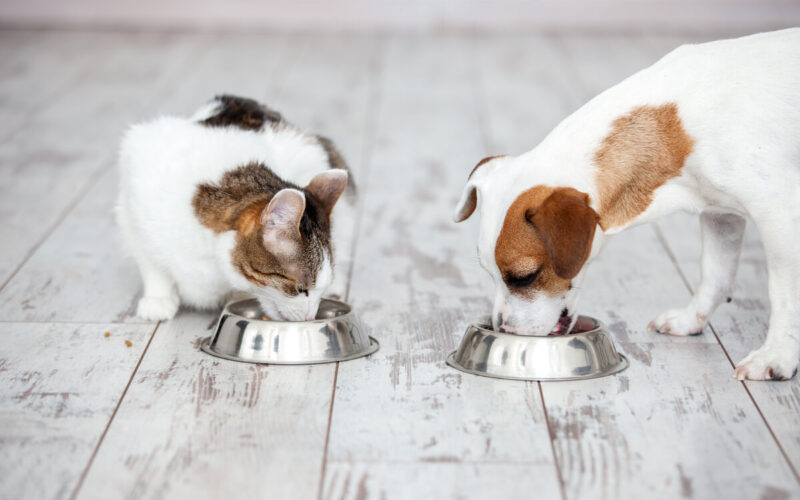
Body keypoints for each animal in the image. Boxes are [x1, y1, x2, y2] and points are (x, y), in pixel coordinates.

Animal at [117, 94, 354, 320]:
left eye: (317, 290)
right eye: (301, 289)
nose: (310, 316)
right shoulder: (133, 197)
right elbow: (151, 263)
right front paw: (158, 298)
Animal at [456, 29, 800, 380]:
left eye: (525, 277)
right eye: (489, 272)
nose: (503, 329)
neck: (676, 126)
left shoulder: (780, 215)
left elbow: (783, 294)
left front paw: (776, 356)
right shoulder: (720, 215)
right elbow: (715, 274)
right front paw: (691, 319)